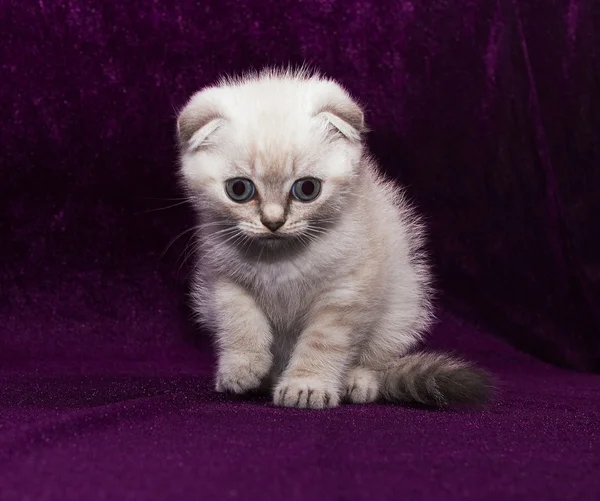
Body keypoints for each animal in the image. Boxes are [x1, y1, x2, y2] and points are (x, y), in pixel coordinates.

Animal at [175, 68, 492, 408]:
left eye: (307, 189)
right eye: (239, 189)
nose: (273, 222)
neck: (280, 260)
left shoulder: (345, 292)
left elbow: (322, 343)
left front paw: (306, 385)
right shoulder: (222, 281)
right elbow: (239, 322)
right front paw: (242, 368)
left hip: (402, 306)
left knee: (377, 359)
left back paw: (357, 381)